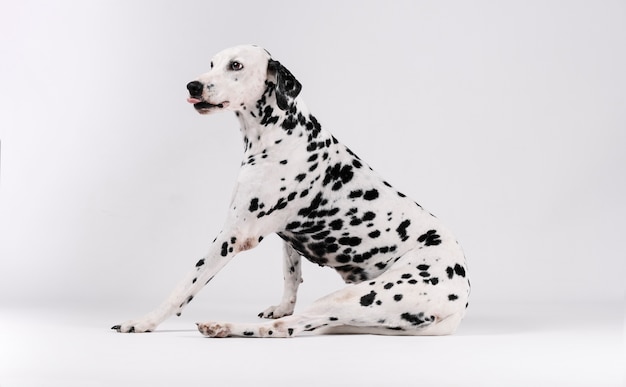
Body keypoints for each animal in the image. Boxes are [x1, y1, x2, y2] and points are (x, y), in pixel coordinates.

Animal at [112, 44, 468, 336]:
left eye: (236, 65)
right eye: (211, 64)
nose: (193, 85)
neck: (281, 135)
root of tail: (460, 300)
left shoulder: (231, 236)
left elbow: (185, 285)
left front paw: (145, 321)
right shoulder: (287, 238)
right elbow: (291, 276)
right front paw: (282, 305)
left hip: (346, 297)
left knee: (284, 330)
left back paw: (221, 326)